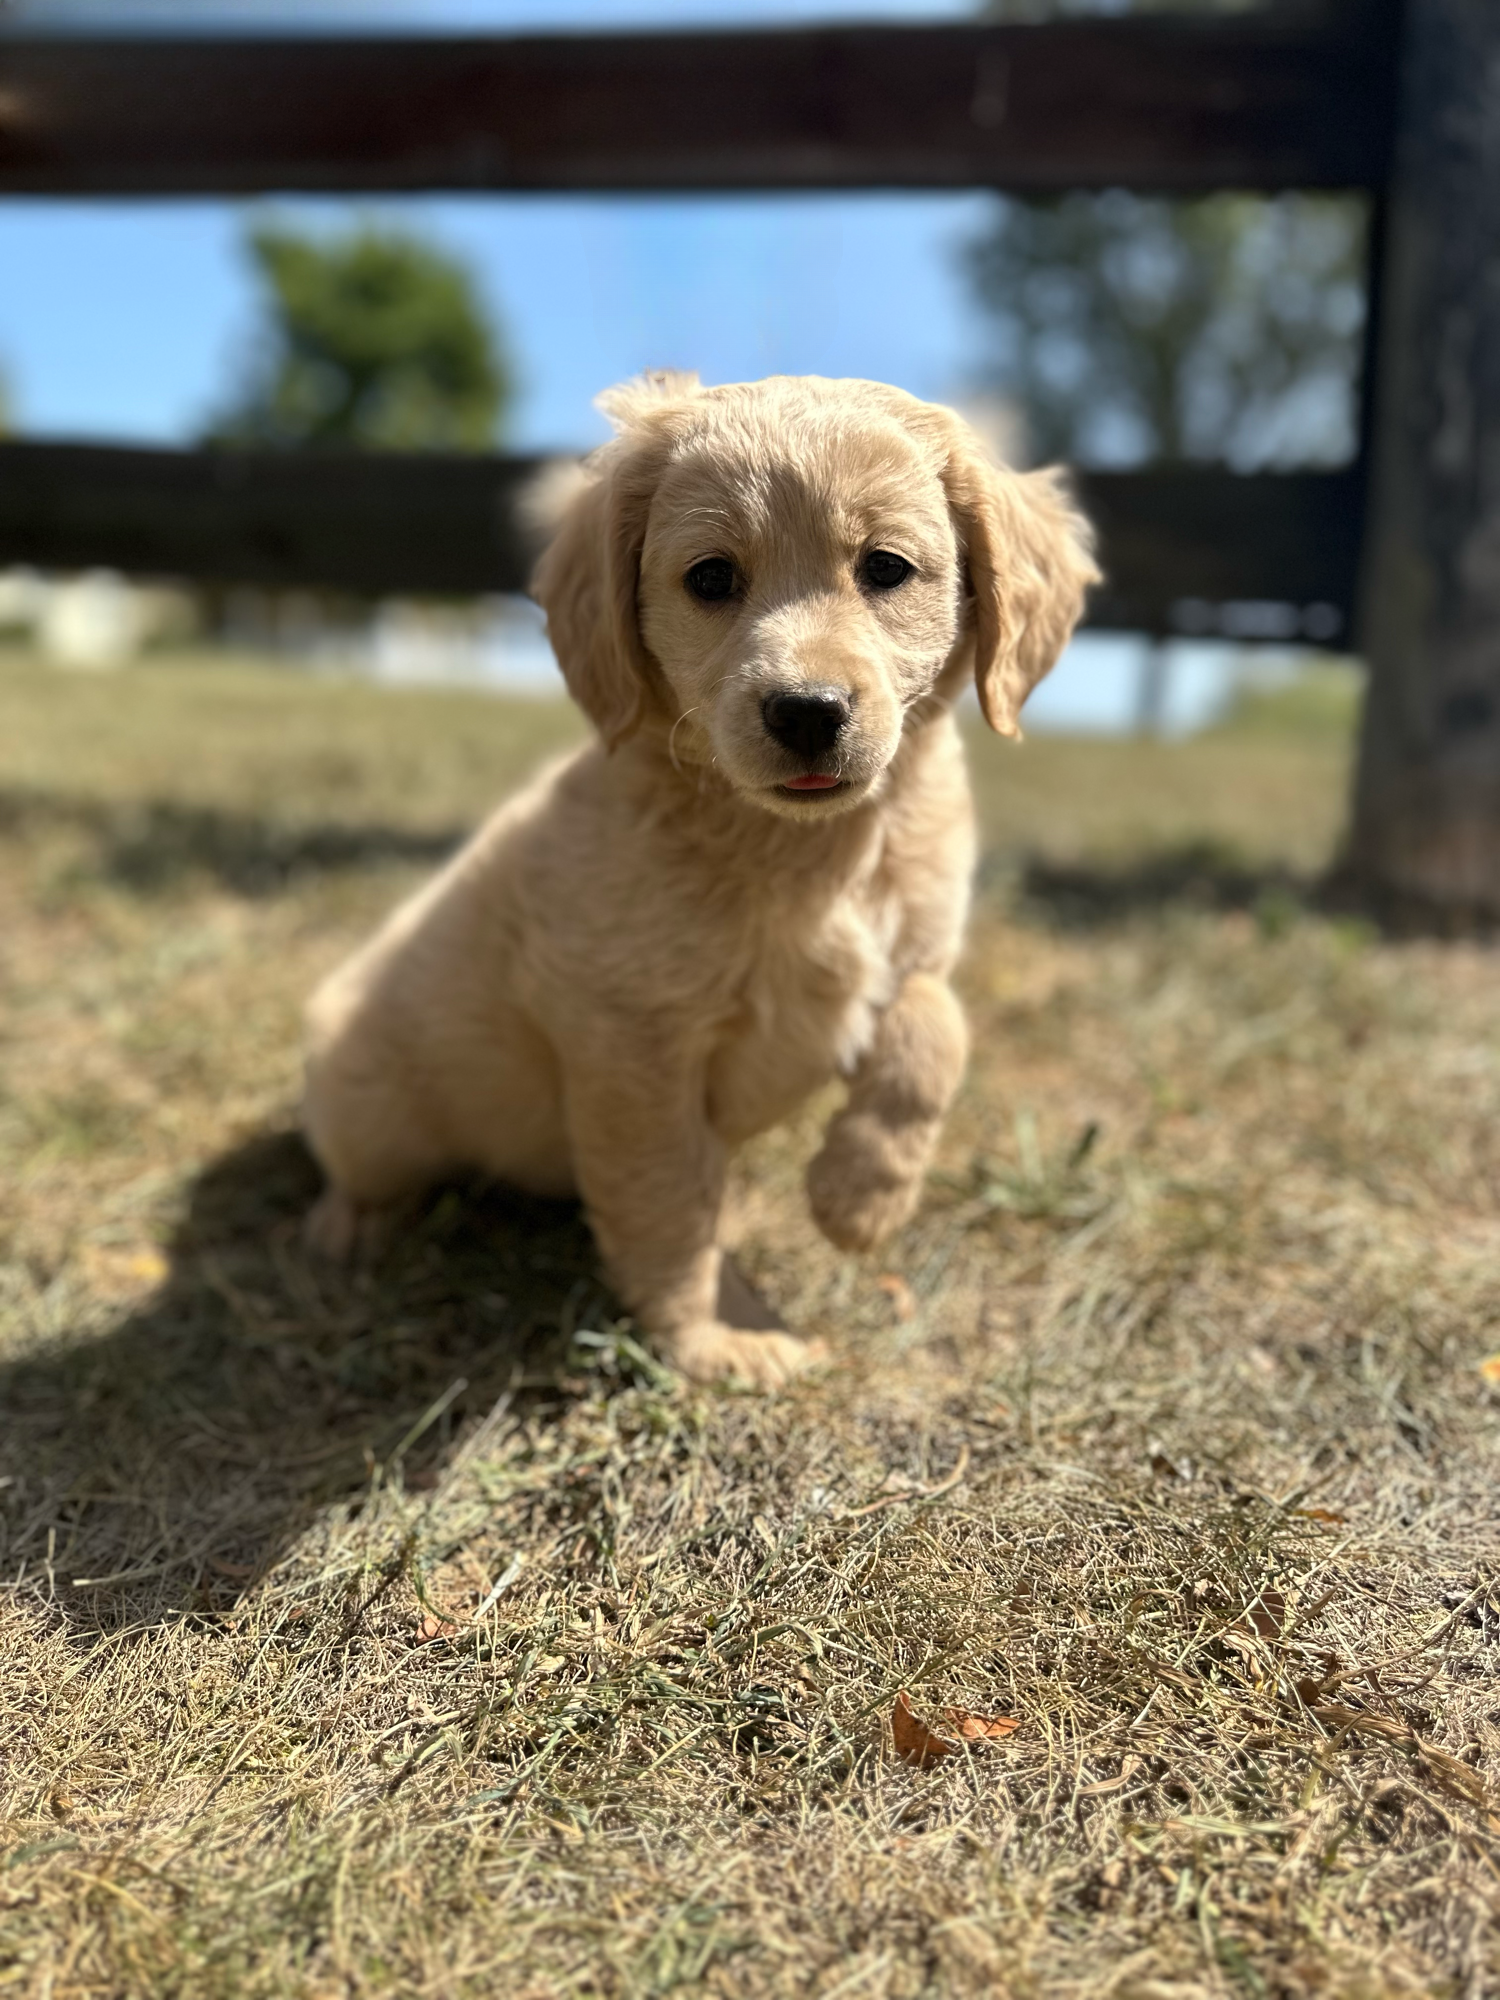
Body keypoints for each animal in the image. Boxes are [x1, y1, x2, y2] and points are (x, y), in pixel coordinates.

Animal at [306, 378, 1096, 1392]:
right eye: (712, 579)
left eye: (886, 568)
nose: (807, 712)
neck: (809, 853)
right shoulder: (634, 1046)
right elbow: (670, 1205)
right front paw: (709, 1338)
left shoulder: (914, 948)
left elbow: (935, 1030)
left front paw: (860, 1198)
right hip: (366, 1104)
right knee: (354, 1168)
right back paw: (349, 1229)